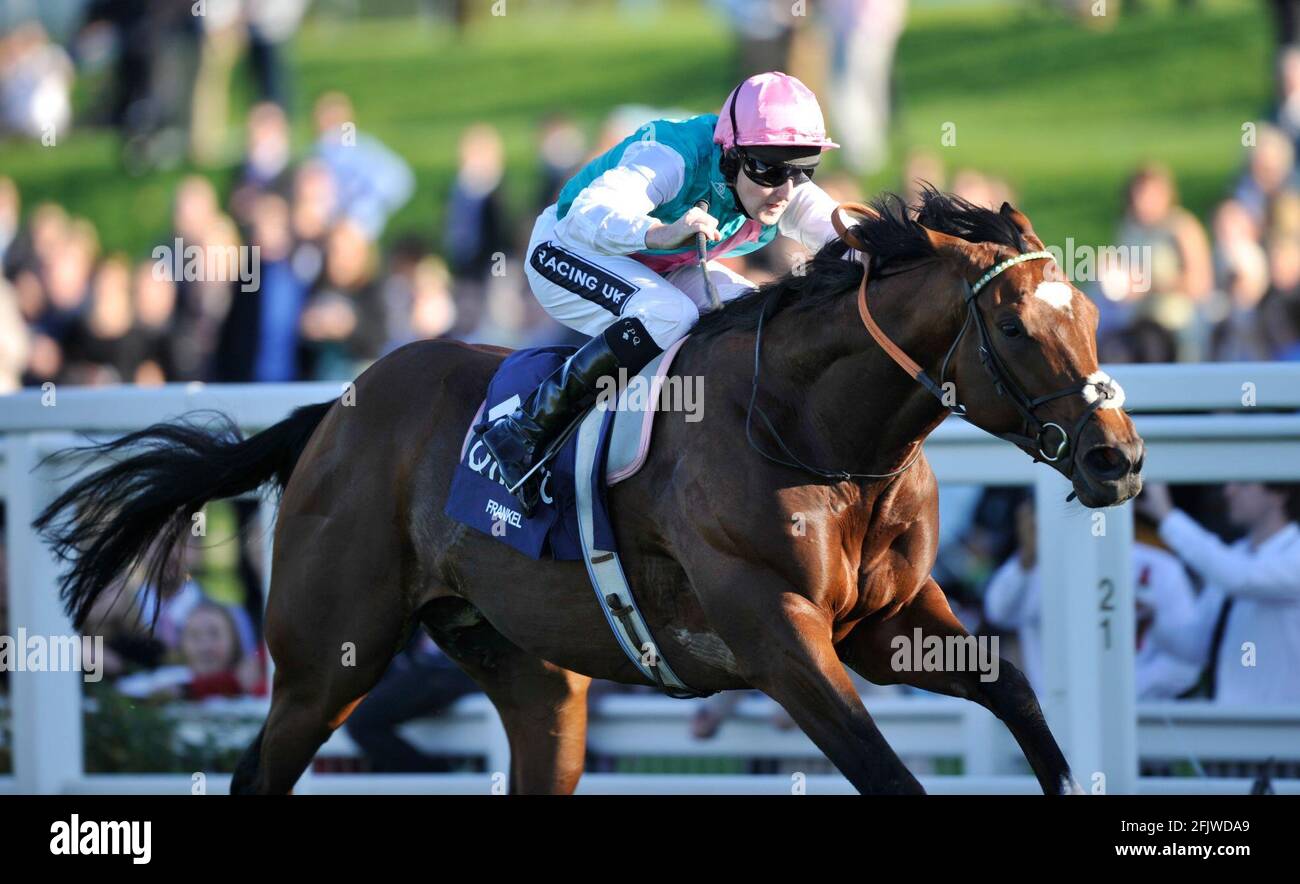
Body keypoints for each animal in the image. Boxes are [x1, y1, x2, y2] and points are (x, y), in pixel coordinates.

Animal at [35, 191, 1144, 795]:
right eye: (1014, 326)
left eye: (1089, 313)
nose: (1117, 460)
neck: (814, 433)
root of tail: (337, 411)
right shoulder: (778, 633)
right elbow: (887, 770)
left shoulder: (887, 621)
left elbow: (1013, 687)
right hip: (325, 659)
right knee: (258, 767)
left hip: (533, 678)